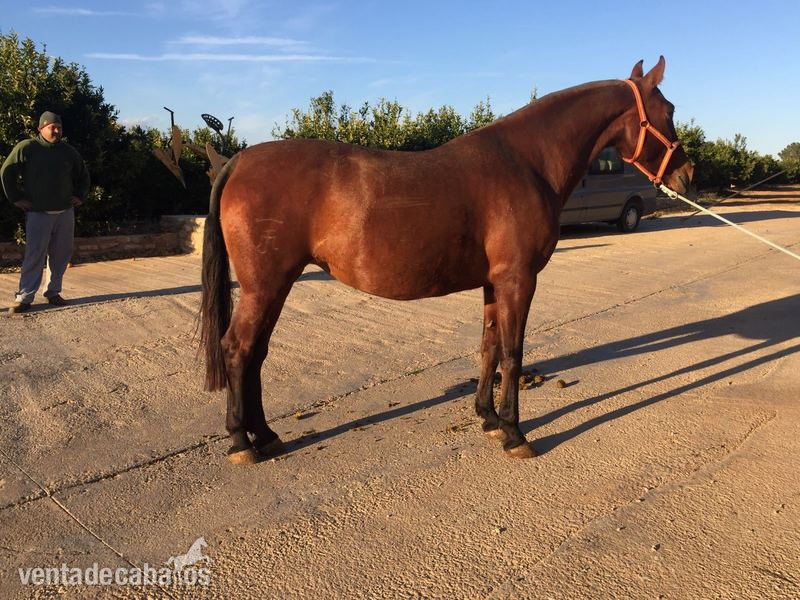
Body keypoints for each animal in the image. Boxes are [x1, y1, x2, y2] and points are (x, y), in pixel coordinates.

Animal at [199, 57, 694, 465]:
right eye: (669, 110)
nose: (687, 174)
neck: (526, 162)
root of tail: (238, 161)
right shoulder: (518, 280)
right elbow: (512, 352)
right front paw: (515, 433)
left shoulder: (496, 282)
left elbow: (489, 346)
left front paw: (488, 419)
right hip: (266, 285)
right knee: (238, 349)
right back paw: (242, 442)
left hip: (275, 285)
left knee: (256, 353)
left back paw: (265, 435)